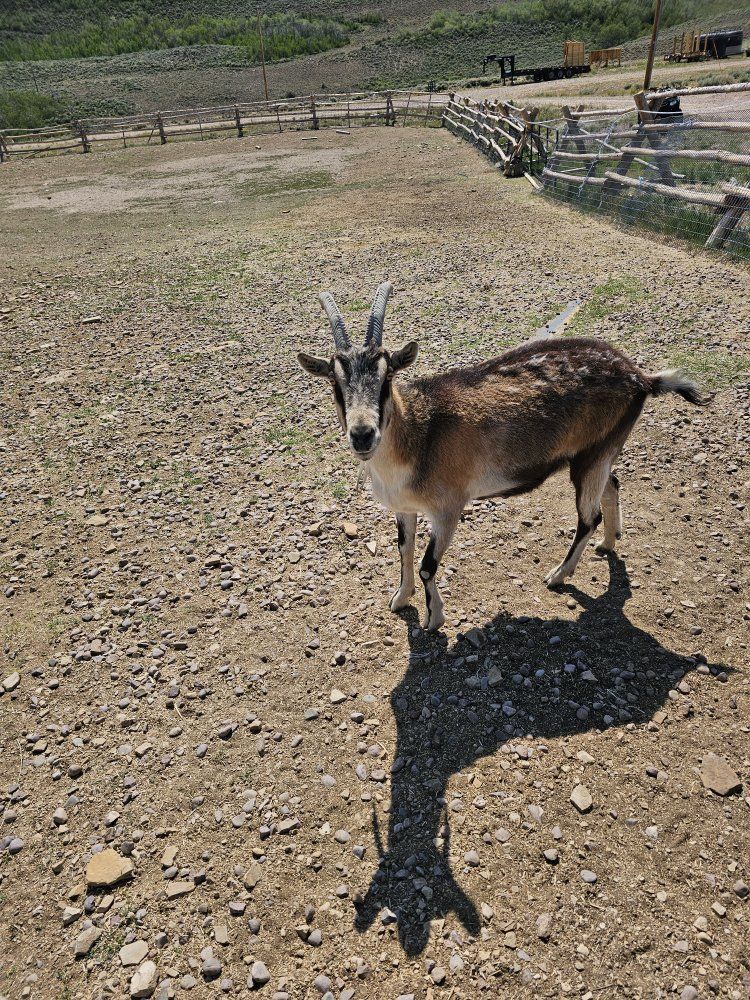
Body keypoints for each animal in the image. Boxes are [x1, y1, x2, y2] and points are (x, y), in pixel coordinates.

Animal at [298, 283, 707, 631]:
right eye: (334, 383)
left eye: (387, 379)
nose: (362, 434)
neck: (420, 435)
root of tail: (642, 377)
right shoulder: (405, 507)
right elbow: (404, 549)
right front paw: (400, 598)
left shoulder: (448, 507)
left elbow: (429, 565)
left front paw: (435, 618)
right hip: (600, 450)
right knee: (612, 485)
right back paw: (609, 543)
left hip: (591, 454)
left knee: (587, 517)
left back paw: (558, 575)